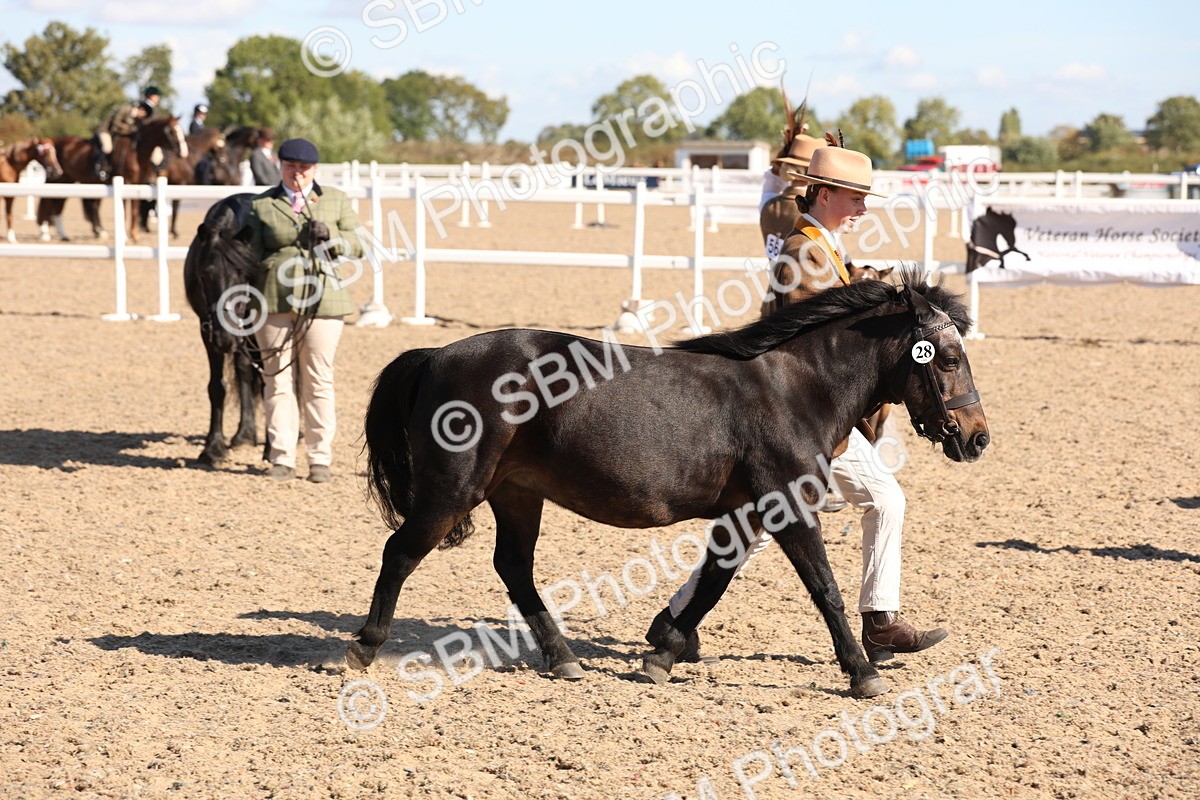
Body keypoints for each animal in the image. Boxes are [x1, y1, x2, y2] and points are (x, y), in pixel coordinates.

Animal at [182, 193, 264, 465]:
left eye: (241, 274)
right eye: (205, 275)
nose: (225, 338)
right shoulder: (207, 331)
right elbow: (217, 387)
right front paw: (214, 447)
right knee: (244, 370)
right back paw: (245, 433)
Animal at [348, 271, 989, 699]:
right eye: (947, 357)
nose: (977, 437)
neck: (794, 388)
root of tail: (436, 356)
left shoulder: (745, 514)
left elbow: (712, 584)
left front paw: (664, 653)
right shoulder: (786, 506)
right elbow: (824, 588)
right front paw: (862, 672)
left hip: (517, 494)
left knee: (513, 568)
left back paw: (562, 657)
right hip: (453, 492)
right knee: (399, 553)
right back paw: (363, 646)